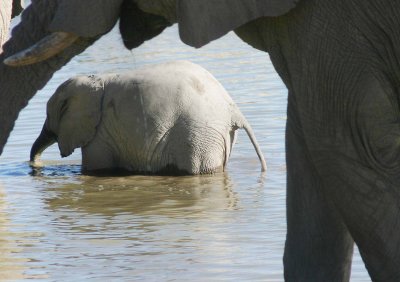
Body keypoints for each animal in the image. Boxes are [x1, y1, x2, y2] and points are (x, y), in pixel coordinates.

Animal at [30, 60, 266, 174]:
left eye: (50, 114)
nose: (36, 166)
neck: (94, 79)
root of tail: (232, 108)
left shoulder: (100, 133)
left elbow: (96, 169)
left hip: (199, 134)